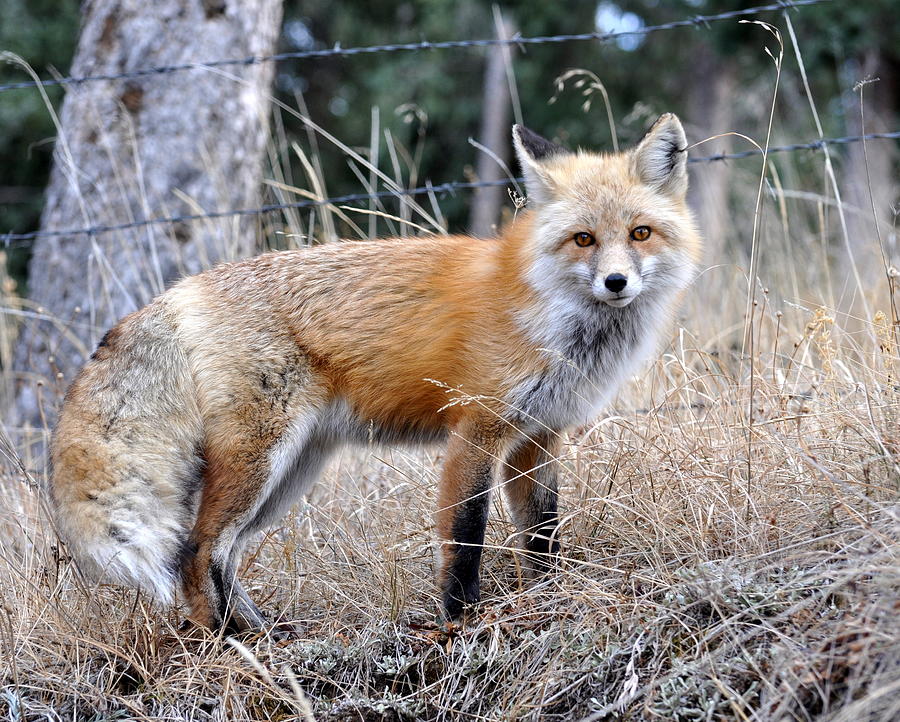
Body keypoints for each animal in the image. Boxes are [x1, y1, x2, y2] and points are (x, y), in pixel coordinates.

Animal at [49, 114, 704, 632]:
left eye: (640, 233)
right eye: (583, 239)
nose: (616, 282)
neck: (549, 314)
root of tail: (179, 291)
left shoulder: (538, 436)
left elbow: (542, 535)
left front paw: (548, 599)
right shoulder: (476, 429)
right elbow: (465, 535)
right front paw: (458, 619)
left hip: (294, 470)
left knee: (223, 553)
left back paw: (262, 633)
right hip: (260, 459)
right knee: (194, 548)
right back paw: (227, 642)